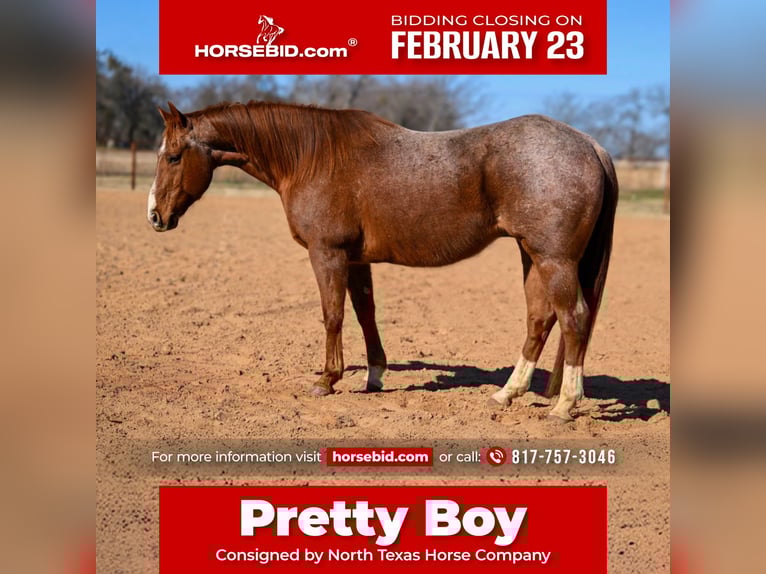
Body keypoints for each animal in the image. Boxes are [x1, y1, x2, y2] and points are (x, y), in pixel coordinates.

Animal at [147, 101, 618, 422]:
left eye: (173, 156)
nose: (155, 216)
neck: (311, 158)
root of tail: (591, 145)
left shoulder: (328, 254)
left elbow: (333, 315)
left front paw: (326, 380)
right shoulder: (357, 261)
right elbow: (365, 313)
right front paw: (374, 376)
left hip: (553, 259)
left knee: (573, 318)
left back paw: (564, 405)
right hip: (531, 254)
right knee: (540, 319)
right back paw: (508, 393)